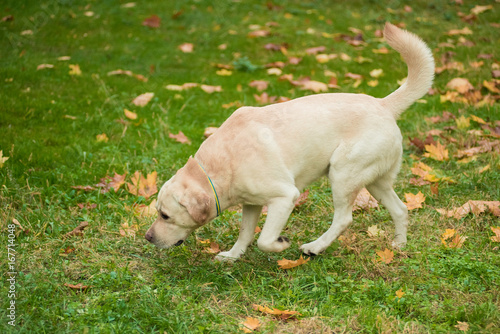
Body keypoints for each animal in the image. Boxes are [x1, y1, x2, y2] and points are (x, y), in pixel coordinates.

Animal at [144, 22, 434, 260]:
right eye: (158, 212)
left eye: (165, 215)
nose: (147, 237)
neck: (223, 163)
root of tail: (384, 104)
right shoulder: (251, 204)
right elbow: (245, 234)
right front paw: (232, 256)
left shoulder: (284, 197)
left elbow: (264, 239)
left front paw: (281, 244)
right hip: (376, 182)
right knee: (401, 209)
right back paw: (399, 246)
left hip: (342, 175)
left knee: (344, 218)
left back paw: (315, 247)